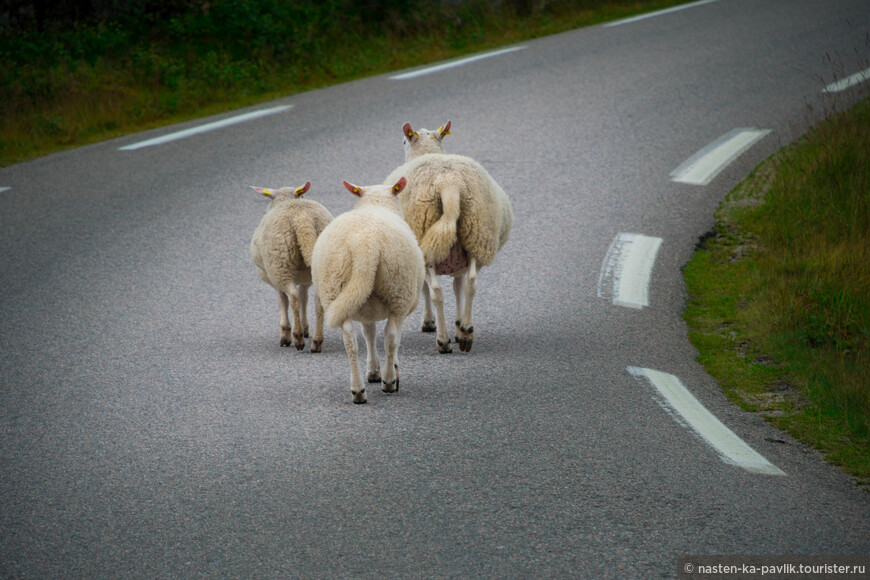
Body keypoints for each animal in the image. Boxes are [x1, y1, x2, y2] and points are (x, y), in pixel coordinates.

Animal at [252, 181, 338, 352]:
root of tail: (302, 218)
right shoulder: (306, 279)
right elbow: (304, 298)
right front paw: (305, 329)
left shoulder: (275, 279)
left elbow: (282, 301)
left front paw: (286, 334)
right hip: (320, 266)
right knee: (317, 300)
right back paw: (316, 341)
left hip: (279, 265)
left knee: (292, 296)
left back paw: (297, 337)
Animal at [314, 177, 426, 404]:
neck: (376, 204)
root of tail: (365, 245)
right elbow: (387, 337)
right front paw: (387, 370)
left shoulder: (365, 309)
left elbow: (369, 334)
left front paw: (373, 371)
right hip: (399, 291)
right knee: (391, 335)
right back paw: (389, 381)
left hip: (335, 287)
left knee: (350, 339)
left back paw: (358, 390)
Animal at [384, 119, 516, 352]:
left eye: (403, 141)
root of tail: (449, 183)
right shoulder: (458, 261)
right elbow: (458, 288)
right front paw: (459, 325)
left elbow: (428, 289)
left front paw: (429, 322)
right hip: (476, 234)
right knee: (471, 284)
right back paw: (466, 333)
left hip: (425, 237)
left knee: (436, 291)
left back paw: (443, 341)